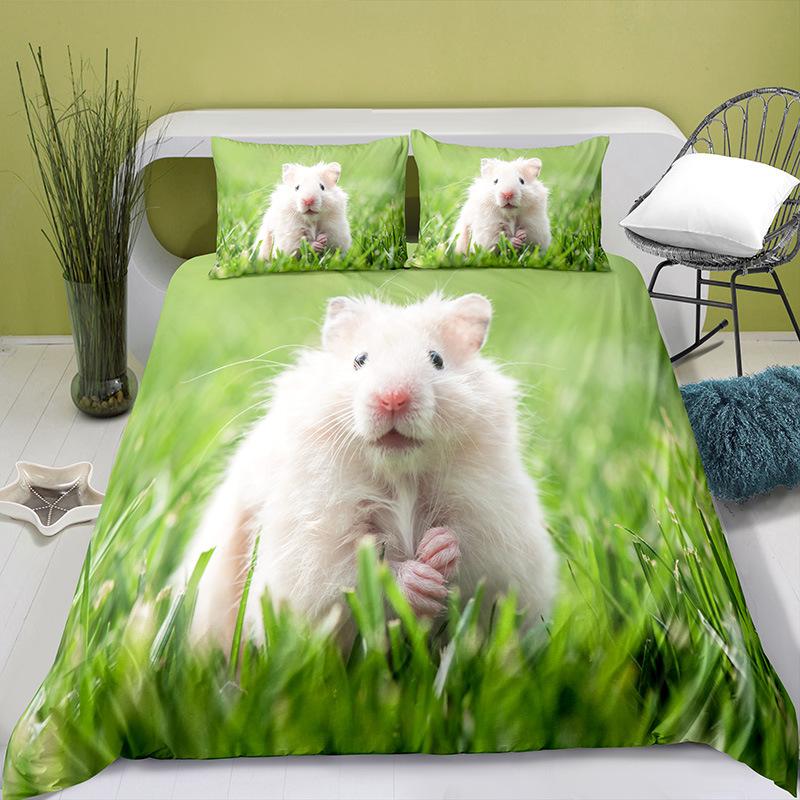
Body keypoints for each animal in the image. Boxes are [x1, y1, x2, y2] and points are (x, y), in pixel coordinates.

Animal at [179, 293, 557, 651]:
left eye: (437, 359)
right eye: (359, 360)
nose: (393, 398)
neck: (400, 473)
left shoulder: (496, 529)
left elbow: (470, 547)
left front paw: (438, 547)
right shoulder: (313, 547)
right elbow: (355, 572)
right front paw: (420, 579)